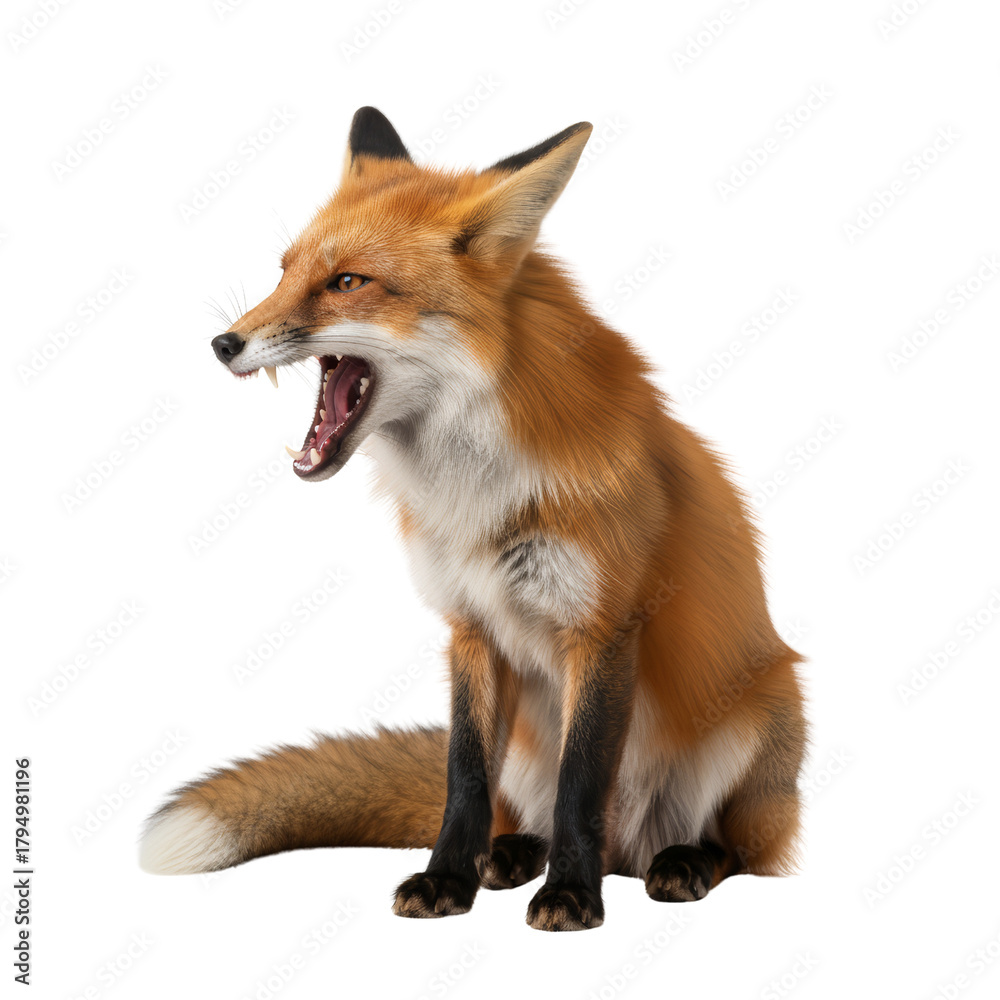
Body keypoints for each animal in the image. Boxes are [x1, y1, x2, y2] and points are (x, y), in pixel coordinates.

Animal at [140, 107, 808, 931]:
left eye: (348, 282)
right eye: (283, 271)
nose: (222, 342)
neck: (476, 495)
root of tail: (632, 848)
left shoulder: (602, 627)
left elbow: (583, 783)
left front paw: (571, 896)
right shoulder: (470, 627)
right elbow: (463, 779)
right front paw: (446, 881)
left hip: (761, 720)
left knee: (736, 848)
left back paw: (675, 863)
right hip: (526, 745)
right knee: (523, 811)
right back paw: (510, 854)